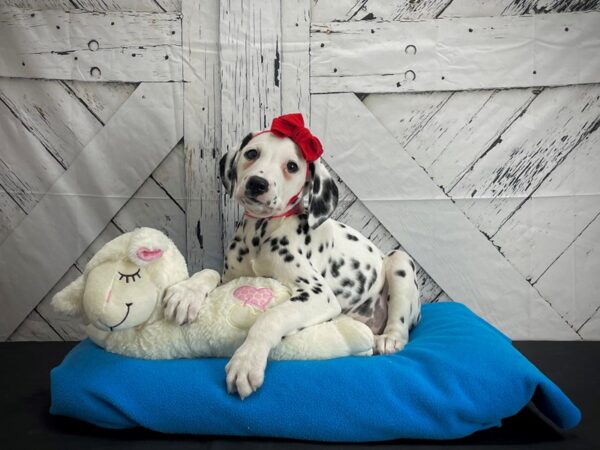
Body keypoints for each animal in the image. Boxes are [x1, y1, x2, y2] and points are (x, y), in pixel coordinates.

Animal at [162, 114, 420, 400]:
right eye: (252, 153)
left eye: (292, 166)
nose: (257, 183)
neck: (261, 232)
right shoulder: (231, 279)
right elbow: (209, 272)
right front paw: (186, 293)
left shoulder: (319, 294)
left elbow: (271, 317)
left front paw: (247, 360)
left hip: (399, 262)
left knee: (400, 326)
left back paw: (388, 339)